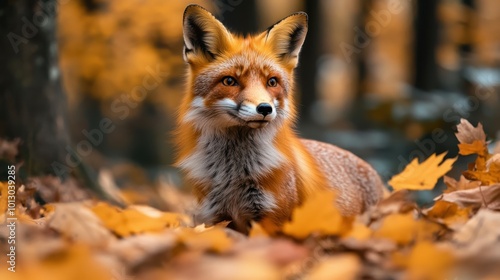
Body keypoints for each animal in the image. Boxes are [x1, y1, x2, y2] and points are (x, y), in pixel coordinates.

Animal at [174, 5, 384, 235]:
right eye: (229, 81)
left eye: (272, 82)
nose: (265, 108)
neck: (233, 173)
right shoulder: (216, 218)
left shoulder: (272, 219)